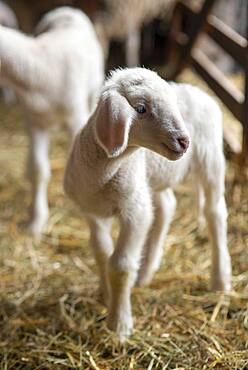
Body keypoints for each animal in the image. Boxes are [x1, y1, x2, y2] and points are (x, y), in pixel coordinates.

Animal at [0, 5, 104, 236]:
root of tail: (67, 9)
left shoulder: (75, 117)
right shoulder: (33, 123)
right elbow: (38, 169)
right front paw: (36, 222)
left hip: (94, 84)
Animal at [64, 67, 232, 342]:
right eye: (141, 109)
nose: (184, 141)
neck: (104, 173)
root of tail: (200, 92)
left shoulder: (134, 211)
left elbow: (120, 265)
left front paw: (119, 325)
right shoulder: (91, 211)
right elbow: (101, 251)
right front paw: (106, 293)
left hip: (211, 160)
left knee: (215, 212)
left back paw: (220, 280)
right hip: (153, 179)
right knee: (167, 207)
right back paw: (146, 272)